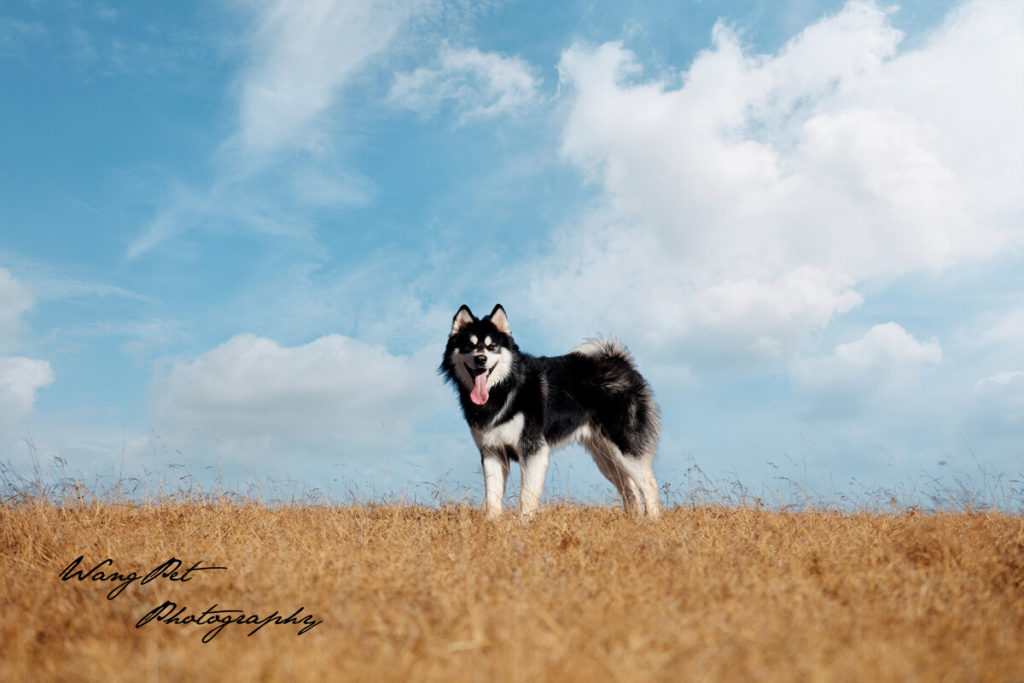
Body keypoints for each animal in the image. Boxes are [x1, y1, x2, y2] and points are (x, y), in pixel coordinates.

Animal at [438, 305, 659, 518]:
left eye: (492, 346)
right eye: (469, 346)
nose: (481, 359)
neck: (505, 387)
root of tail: (621, 362)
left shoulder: (533, 450)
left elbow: (526, 496)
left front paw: (524, 523)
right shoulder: (492, 451)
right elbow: (492, 498)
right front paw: (493, 524)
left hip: (624, 447)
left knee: (648, 484)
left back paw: (652, 520)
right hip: (605, 455)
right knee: (629, 487)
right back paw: (634, 520)